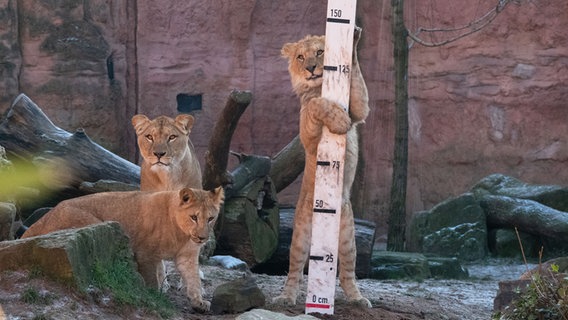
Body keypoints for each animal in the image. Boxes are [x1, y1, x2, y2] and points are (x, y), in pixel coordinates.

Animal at [23, 186, 224, 312]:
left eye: (210, 218)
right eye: (193, 217)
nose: (202, 238)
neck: (182, 234)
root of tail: (41, 220)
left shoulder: (187, 256)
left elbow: (194, 279)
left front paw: (198, 302)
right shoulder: (146, 254)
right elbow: (152, 279)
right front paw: (155, 299)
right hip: (97, 226)